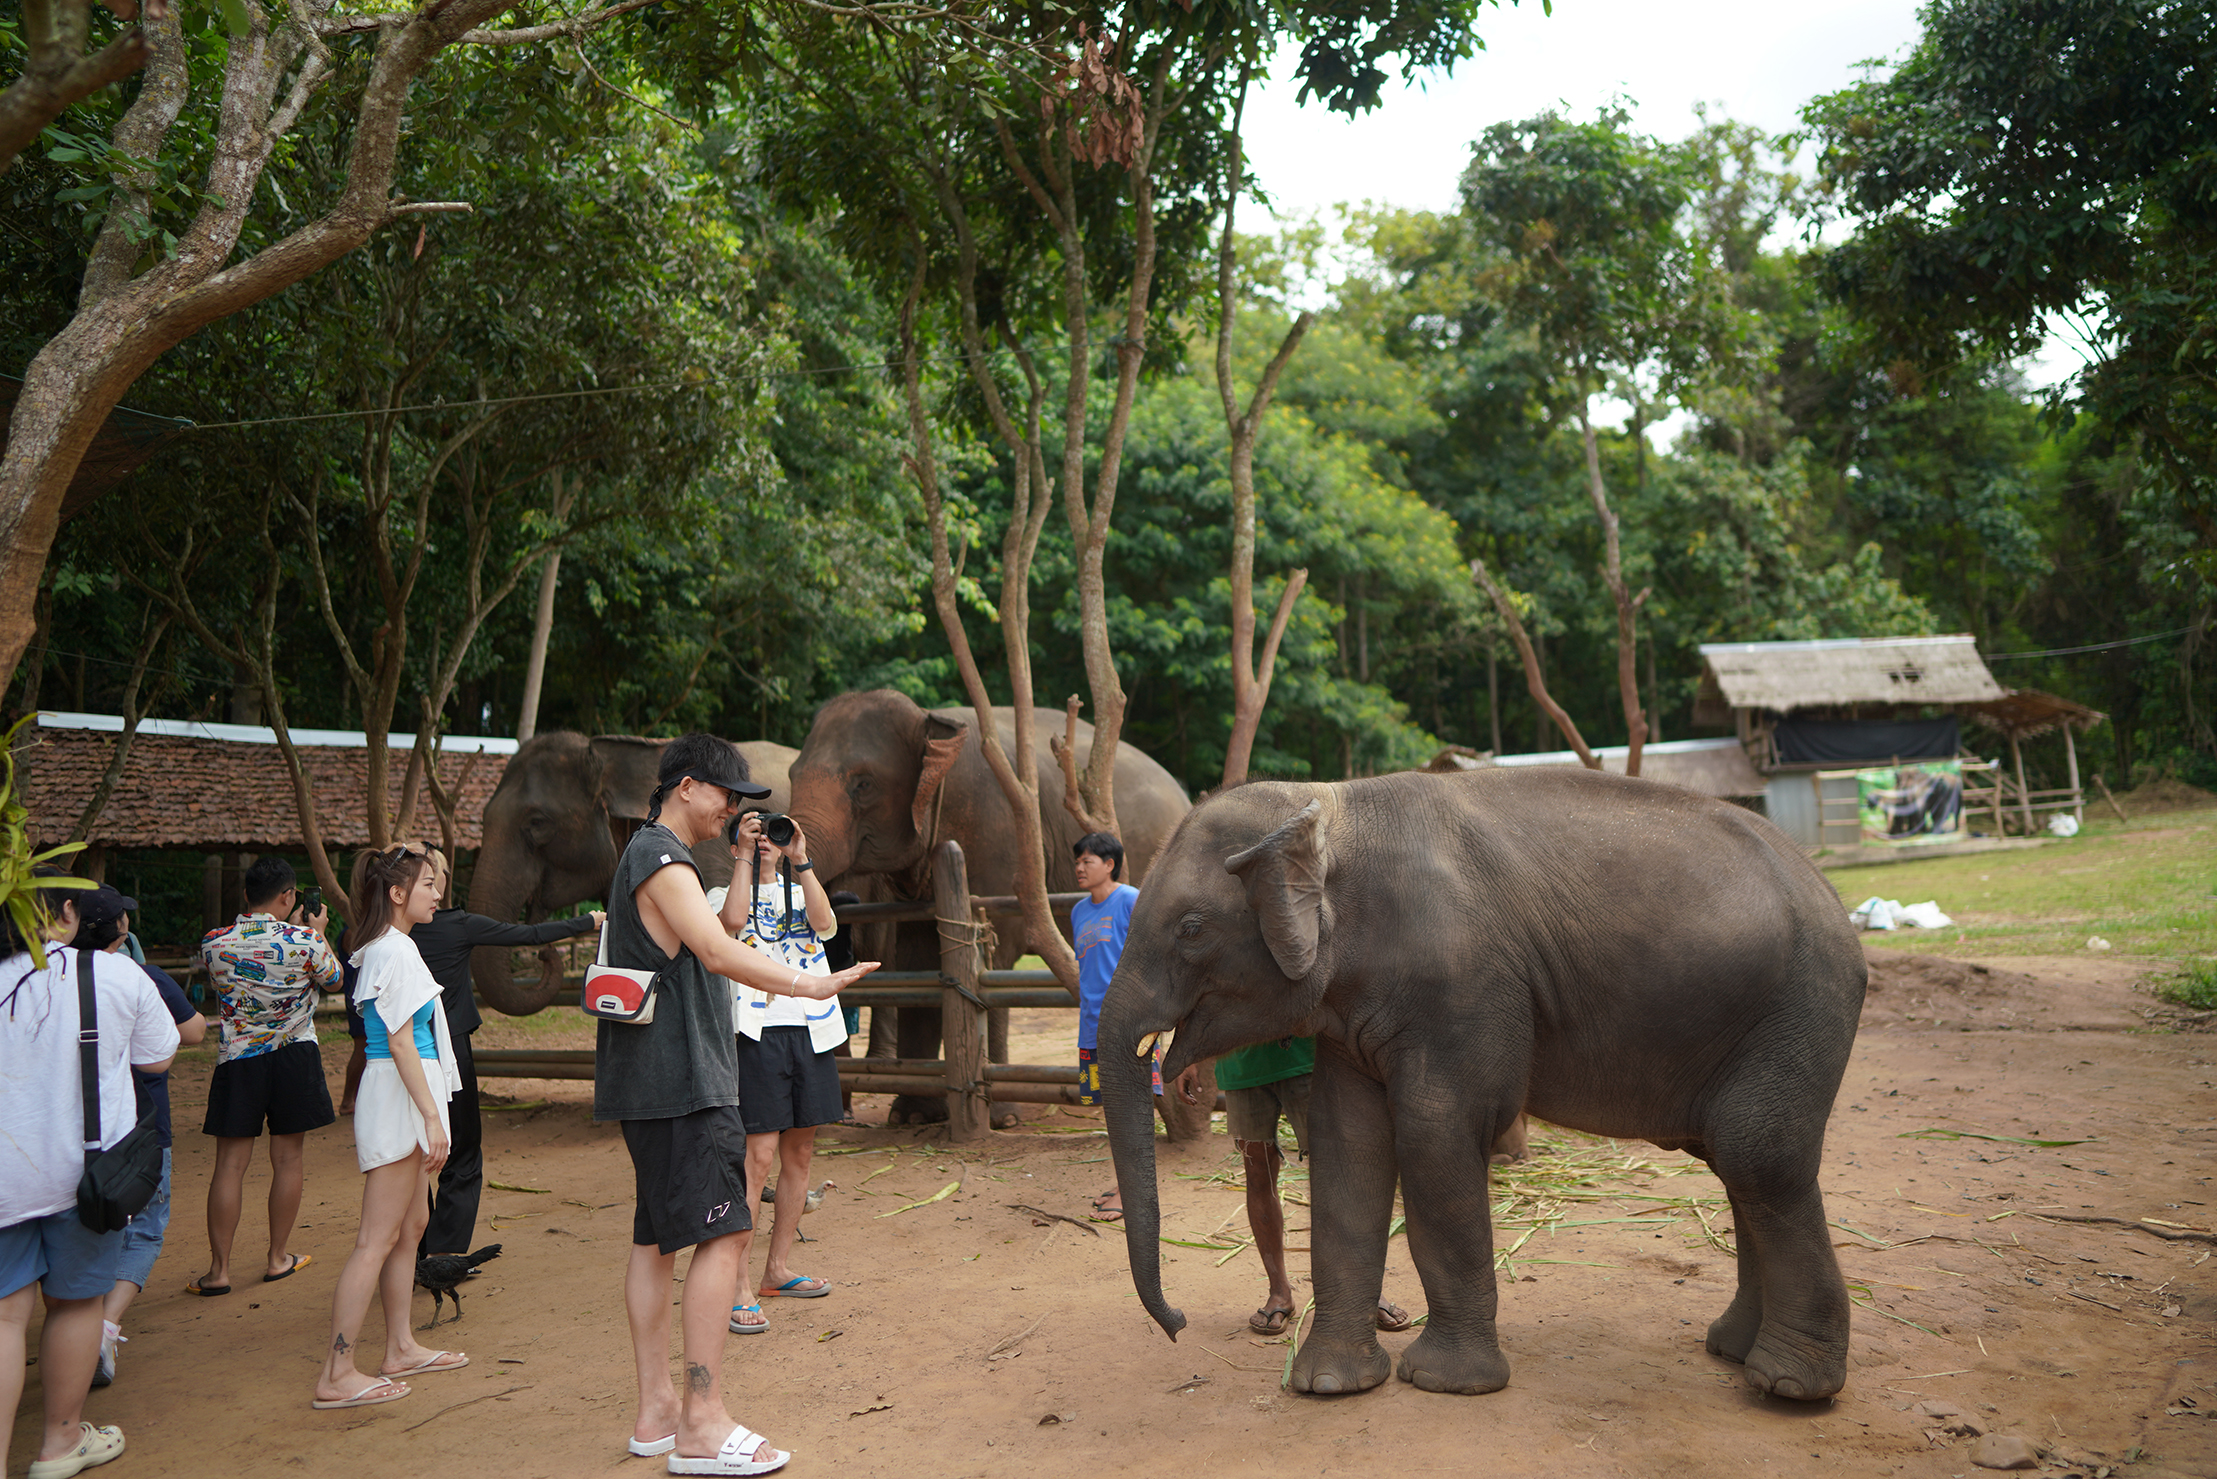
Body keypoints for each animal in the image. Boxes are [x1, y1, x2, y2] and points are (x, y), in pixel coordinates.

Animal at [784, 687, 1188, 1126]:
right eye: (791, 775)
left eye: (864, 784)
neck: (930, 723)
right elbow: (917, 957)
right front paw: (912, 1117)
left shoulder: (996, 831)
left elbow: (993, 958)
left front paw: (1002, 1119)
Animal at [1099, 771, 1862, 1410]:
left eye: (1191, 928)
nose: (1177, 1323)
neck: (1330, 804)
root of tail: (1828, 890)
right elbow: (1349, 1146)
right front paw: (1327, 1385)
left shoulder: (1461, 987)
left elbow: (1435, 1135)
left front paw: (1445, 1383)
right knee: (1736, 1164)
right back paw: (1731, 1350)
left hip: (1799, 1008)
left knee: (1757, 1157)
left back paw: (1788, 1385)